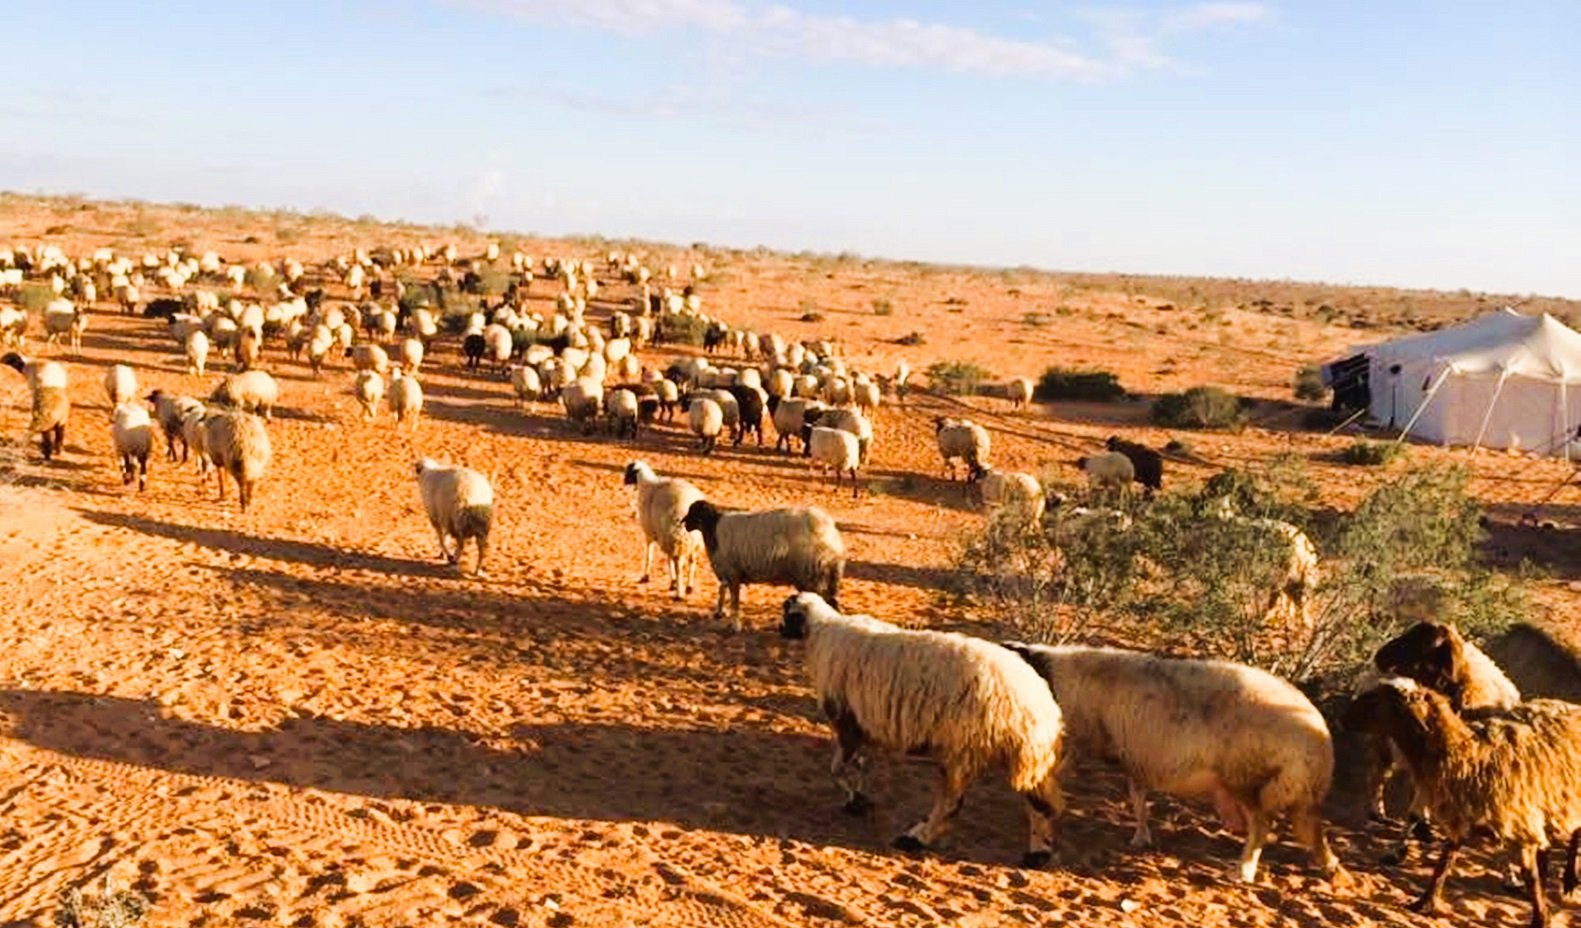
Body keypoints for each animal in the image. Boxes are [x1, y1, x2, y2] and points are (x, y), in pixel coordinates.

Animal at [622, 461, 705, 603]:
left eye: (628, 471)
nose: (623, 481)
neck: (647, 484)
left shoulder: (650, 533)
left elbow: (649, 555)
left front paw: (646, 576)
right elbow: (668, 559)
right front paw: (672, 582)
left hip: (676, 538)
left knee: (678, 566)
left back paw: (679, 594)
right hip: (692, 541)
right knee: (692, 561)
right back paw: (689, 586)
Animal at [682, 499, 847, 632]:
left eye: (693, 512)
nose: (684, 525)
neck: (713, 530)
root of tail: (831, 532)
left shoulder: (733, 572)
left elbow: (735, 601)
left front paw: (735, 626)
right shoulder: (729, 574)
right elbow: (724, 592)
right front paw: (721, 614)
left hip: (814, 574)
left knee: (830, 603)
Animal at [784, 591, 1068, 866]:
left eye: (786, 614)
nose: (780, 630)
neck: (821, 631)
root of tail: (1040, 705)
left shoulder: (846, 720)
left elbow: (837, 769)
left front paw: (855, 801)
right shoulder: (865, 725)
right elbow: (861, 764)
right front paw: (860, 798)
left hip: (963, 749)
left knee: (953, 803)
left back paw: (914, 838)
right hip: (1023, 755)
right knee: (1038, 802)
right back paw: (1038, 854)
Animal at [1005, 638, 1340, 885]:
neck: (1053, 677)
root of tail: (1320, 742)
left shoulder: (1080, 745)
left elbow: (1041, 797)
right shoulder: (1134, 755)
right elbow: (1138, 796)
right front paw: (1141, 837)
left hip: (1246, 776)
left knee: (1262, 824)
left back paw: (1243, 871)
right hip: (1280, 788)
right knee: (1310, 828)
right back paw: (1328, 865)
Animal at [1340, 676, 1581, 928]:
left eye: (1375, 699)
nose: (1342, 717)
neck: (1468, 756)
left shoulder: (1519, 821)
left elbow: (1529, 876)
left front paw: (1541, 917)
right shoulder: (1461, 817)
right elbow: (1444, 862)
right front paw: (1424, 903)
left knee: (1576, 832)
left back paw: (1570, 878)